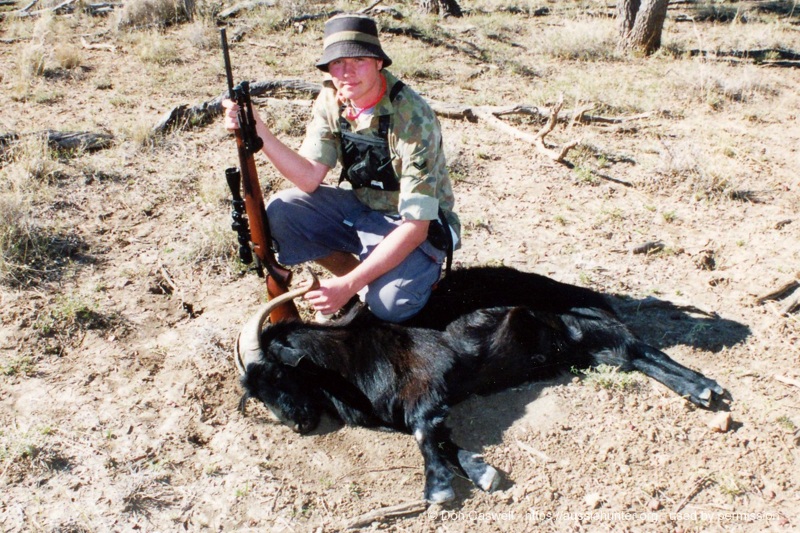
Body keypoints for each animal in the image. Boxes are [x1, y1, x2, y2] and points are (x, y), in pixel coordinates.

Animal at [236, 266, 724, 502]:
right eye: (256, 395)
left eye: (279, 373)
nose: (298, 424)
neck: (349, 356)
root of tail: (590, 295)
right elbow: (441, 436)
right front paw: (480, 470)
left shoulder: (429, 375)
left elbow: (423, 431)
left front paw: (437, 489)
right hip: (588, 350)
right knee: (633, 357)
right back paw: (701, 391)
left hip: (587, 326)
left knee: (643, 348)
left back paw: (706, 388)